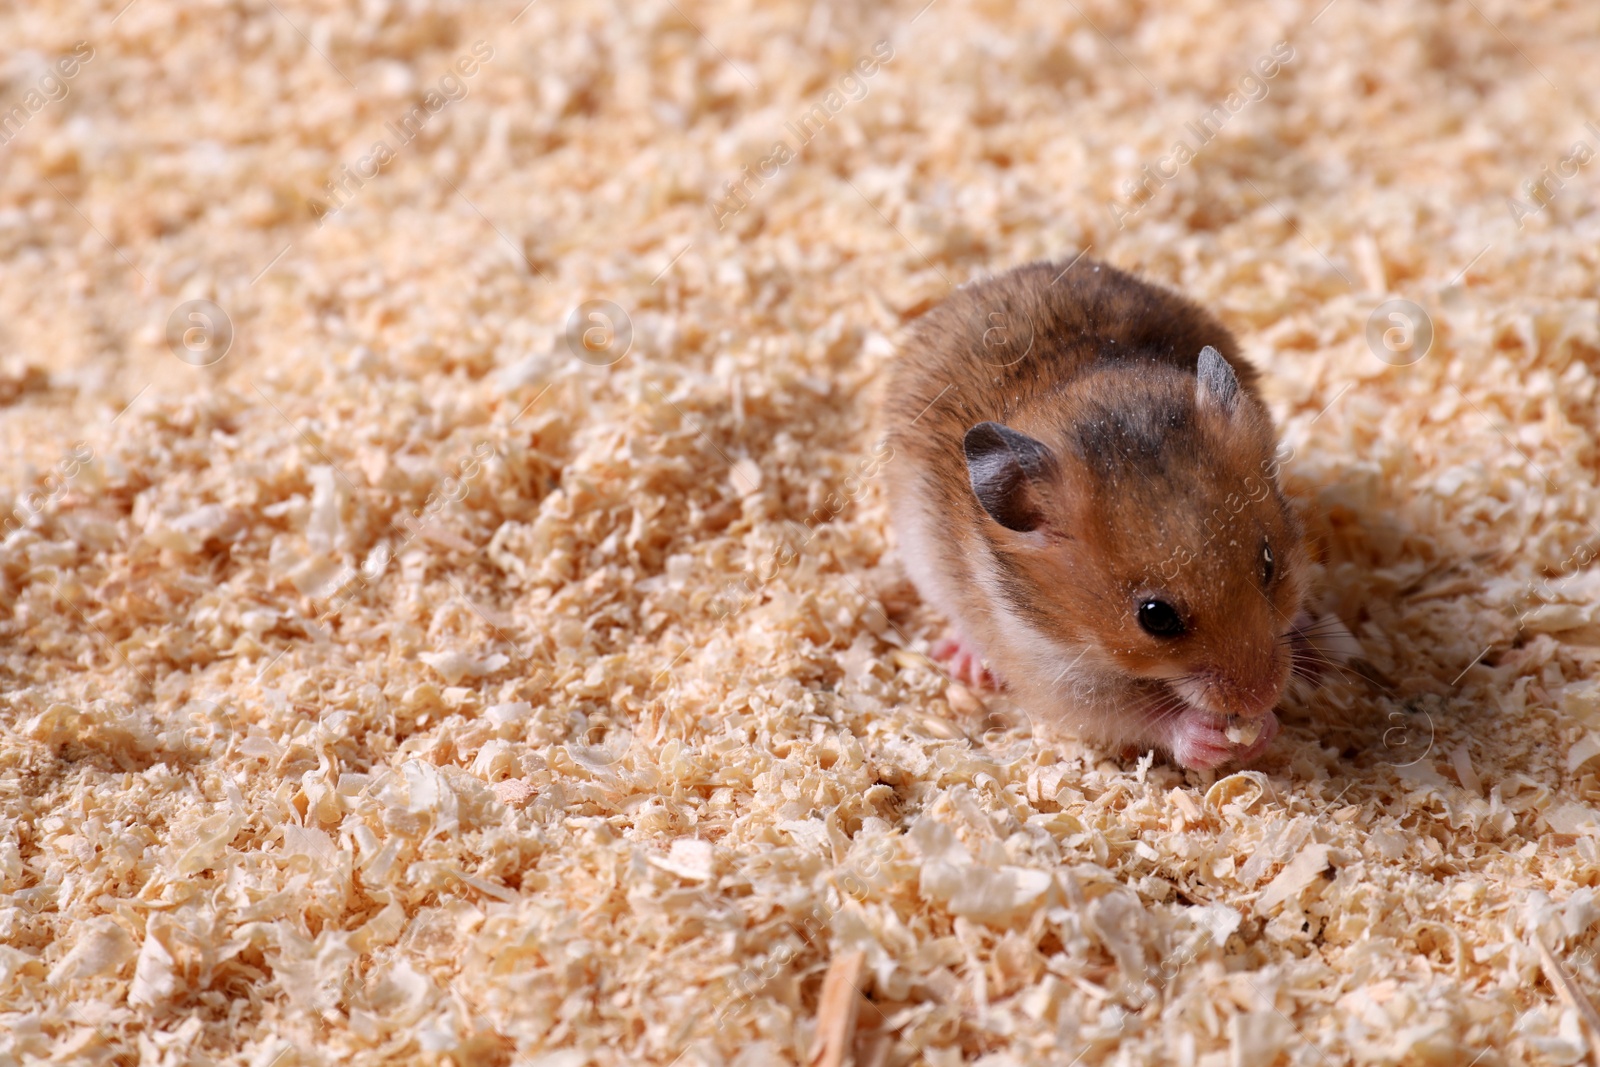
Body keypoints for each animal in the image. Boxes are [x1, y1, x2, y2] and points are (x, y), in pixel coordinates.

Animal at [883, 257, 1356, 767]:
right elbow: (1139, 714)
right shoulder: (1058, 675)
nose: (1262, 697)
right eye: (1155, 617)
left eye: (1269, 563)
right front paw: (1228, 738)